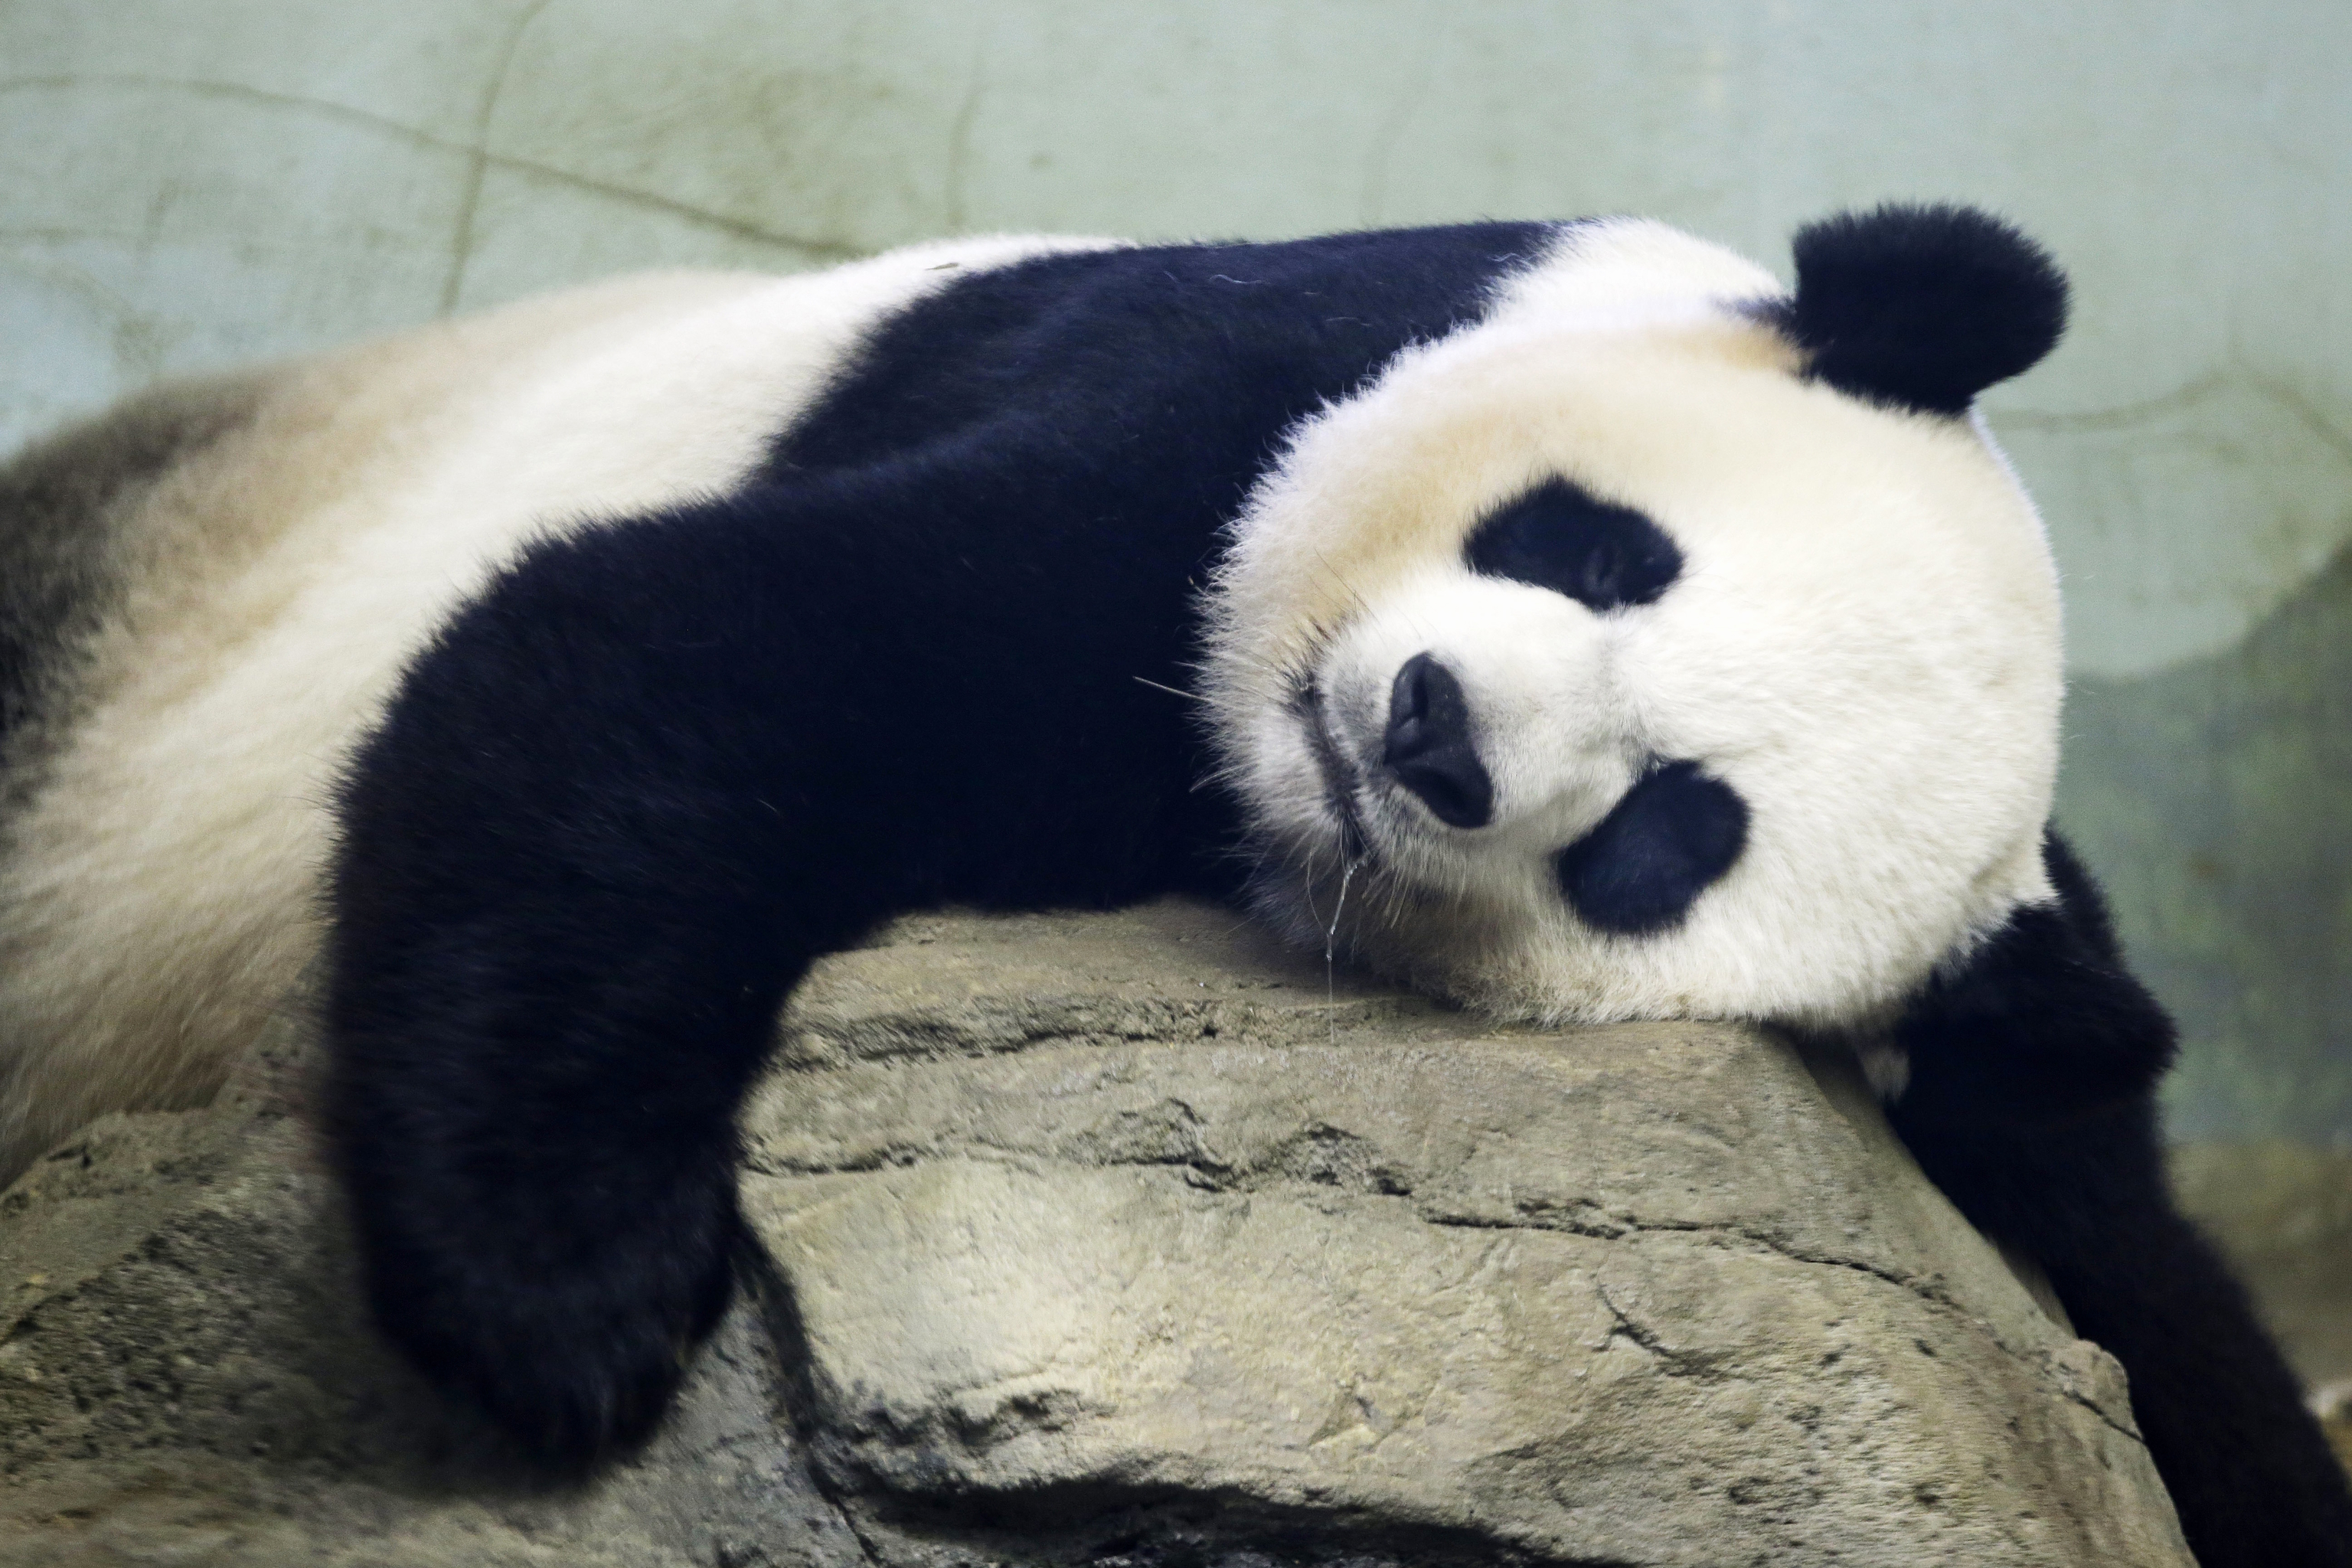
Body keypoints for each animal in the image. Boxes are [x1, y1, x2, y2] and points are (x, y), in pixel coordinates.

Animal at [0, 207, 2342, 1568]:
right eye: (1601, 550)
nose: (1428, 732)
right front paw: (560, 1299)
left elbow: (2121, 1228)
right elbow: (683, 640)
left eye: (1666, 835)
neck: (1233, 776)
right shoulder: (1228, 389)